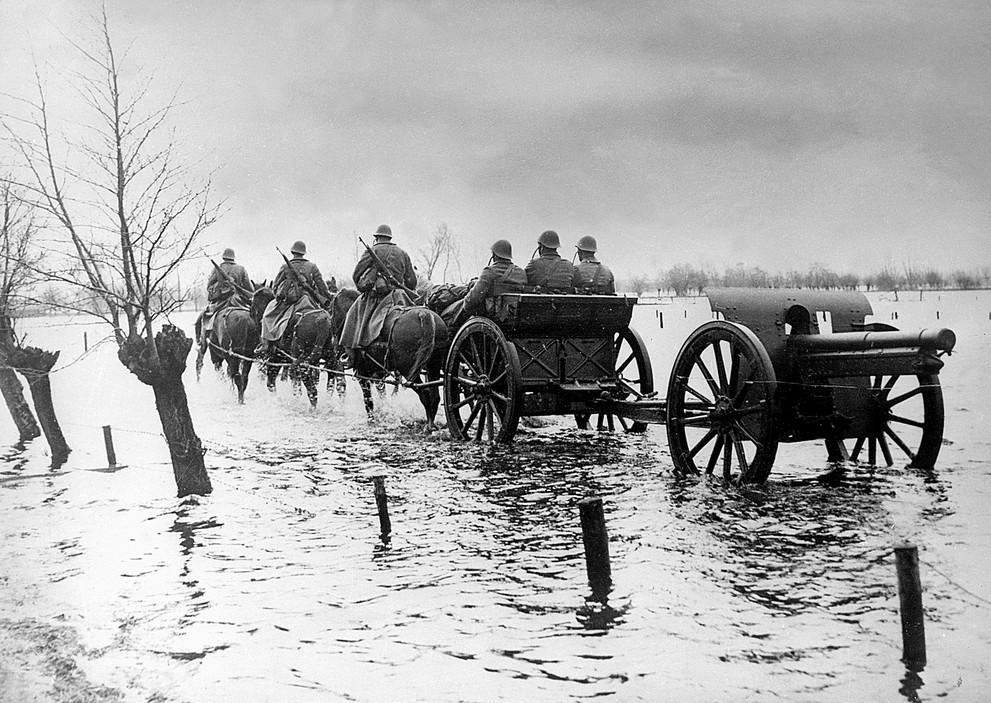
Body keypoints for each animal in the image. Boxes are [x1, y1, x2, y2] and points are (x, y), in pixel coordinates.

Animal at [330, 286, 450, 428]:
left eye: (332, 313)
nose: (334, 343)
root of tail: (424, 315)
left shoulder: (362, 373)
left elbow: (368, 399)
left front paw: (372, 419)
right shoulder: (378, 373)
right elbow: (381, 394)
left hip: (408, 370)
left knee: (424, 392)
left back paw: (429, 425)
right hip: (433, 366)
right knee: (434, 395)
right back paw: (431, 423)